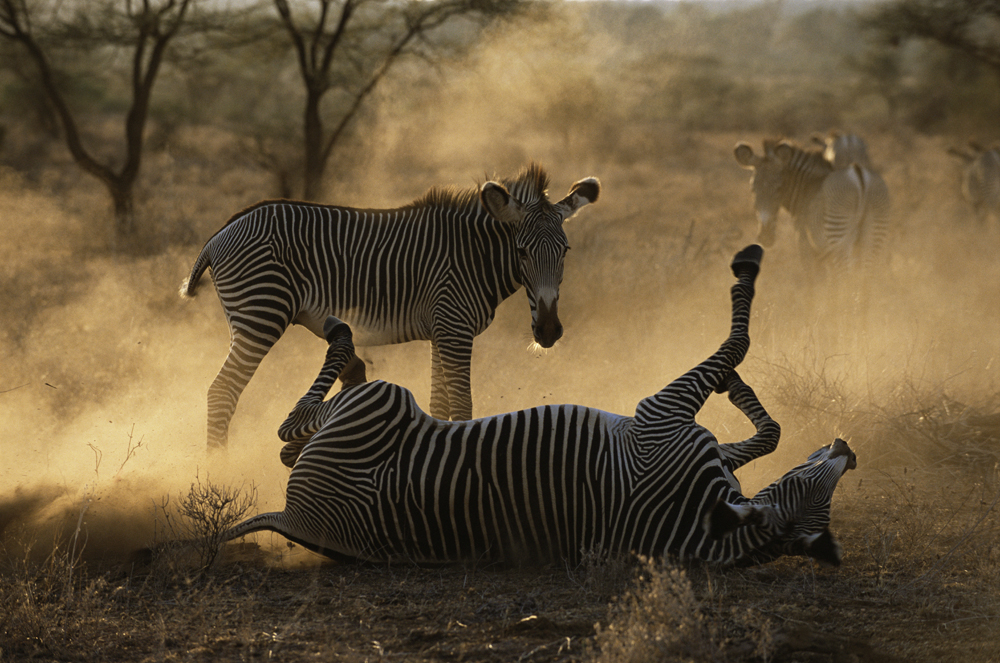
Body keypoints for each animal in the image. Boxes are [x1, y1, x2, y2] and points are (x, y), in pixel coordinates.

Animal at [181, 164, 600, 448]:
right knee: (222, 392)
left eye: (565, 251)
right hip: (261, 314)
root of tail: (219, 234)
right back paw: (218, 471)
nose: (549, 331)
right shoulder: (455, 328)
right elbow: (462, 405)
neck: (473, 256)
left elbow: (439, 405)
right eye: (522, 251)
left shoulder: (441, 331)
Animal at [223, 245, 857, 567]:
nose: (849, 449)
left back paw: (339, 341)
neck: (703, 520)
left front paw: (745, 271)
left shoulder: (660, 417)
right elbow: (766, 425)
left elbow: (740, 345)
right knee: (289, 437)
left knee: (291, 430)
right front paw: (734, 385)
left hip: (379, 407)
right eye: (814, 480)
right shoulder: (674, 426)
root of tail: (295, 520)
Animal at [735, 139, 890, 270]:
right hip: (875, 232)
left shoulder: (807, 247)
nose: (765, 238)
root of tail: (859, 175)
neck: (806, 189)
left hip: (839, 235)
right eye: (753, 189)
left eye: (779, 188)